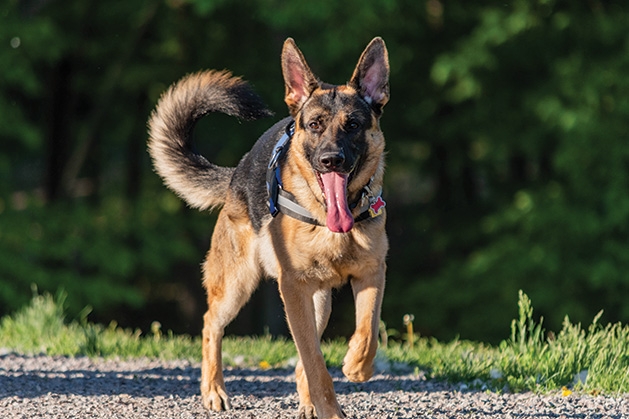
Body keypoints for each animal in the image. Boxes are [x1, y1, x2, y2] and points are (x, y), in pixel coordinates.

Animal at [150, 37, 390, 418]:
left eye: (353, 125)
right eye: (315, 124)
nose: (331, 160)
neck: (328, 220)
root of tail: (237, 172)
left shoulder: (372, 274)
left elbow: (367, 331)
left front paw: (356, 366)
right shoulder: (292, 288)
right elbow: (315, 362)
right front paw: (331, 407)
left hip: (316, 302)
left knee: (306, 354)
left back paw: (307, 400)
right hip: (238, 285)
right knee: (211, 324)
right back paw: (213, 390)